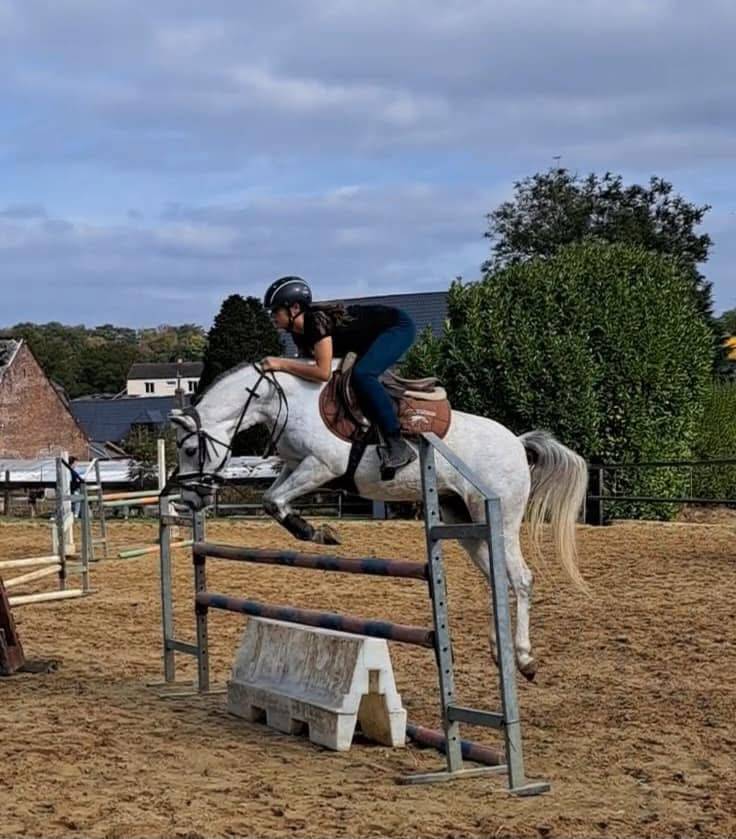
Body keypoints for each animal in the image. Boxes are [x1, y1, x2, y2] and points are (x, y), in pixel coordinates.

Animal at [170, 361, 588, 679]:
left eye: (190, 449)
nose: (190, 499)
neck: (282, 399)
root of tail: (517, 442)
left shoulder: (322, 466)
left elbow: (274, 500)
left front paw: (317, 532)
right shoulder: (295, 465)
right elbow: (273, 499)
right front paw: (316, 531)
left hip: (502, 520)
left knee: (520, 579)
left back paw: (524, 658)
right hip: (465, 522)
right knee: (496, 579)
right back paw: (499, 650)